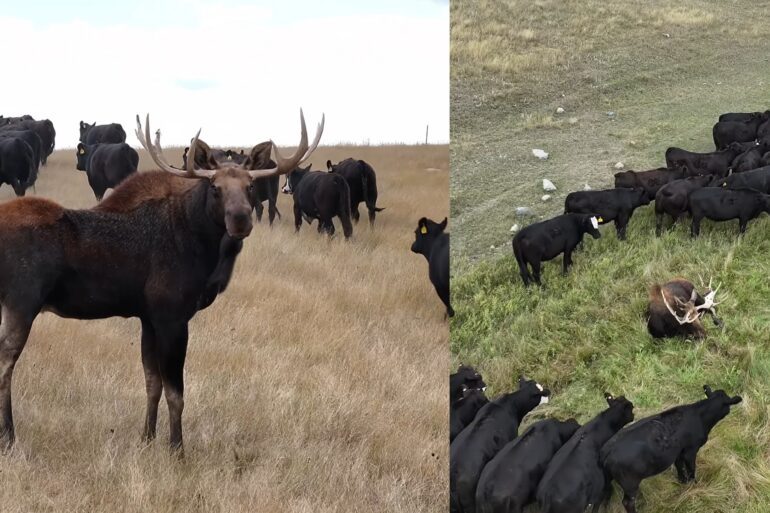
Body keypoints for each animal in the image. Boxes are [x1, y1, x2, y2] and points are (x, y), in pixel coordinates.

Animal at [0, 110, 323, 453]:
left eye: (250, 185)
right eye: (215, 187)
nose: (240, 219)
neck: (202, 247)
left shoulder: (148, 317)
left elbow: (151, 383)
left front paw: (147, 437)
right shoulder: (172, 316)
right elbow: (175, 393)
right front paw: (176, 448)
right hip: (22, 302)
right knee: (5, 365)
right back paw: (9, 437)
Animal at [601, 386, 742, 513]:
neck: (700, 416)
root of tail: (606, 450)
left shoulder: (679, 451)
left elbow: (679, 466)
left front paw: (682, 481)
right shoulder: (690, 450)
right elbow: (691, 469)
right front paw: (695, 484)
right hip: (630, 483)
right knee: (627, 502)